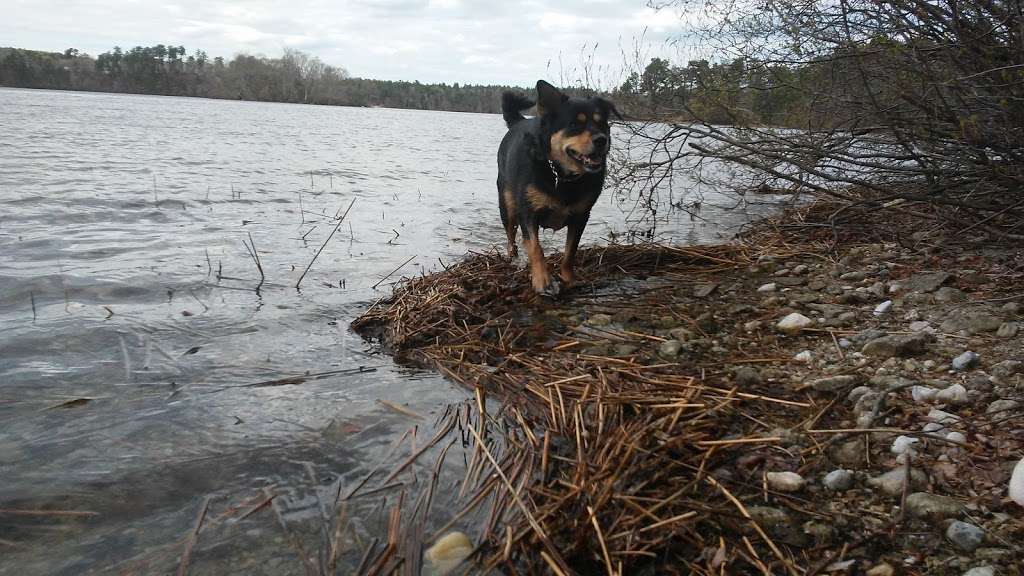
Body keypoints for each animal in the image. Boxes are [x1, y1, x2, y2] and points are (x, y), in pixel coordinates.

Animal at [493, 79, 614, 295]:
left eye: (602, 123)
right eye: (574, 124)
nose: (602, 139)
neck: (561, 175)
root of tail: (518, 121)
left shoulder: (581, 216)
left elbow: (570, 251)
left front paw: (568, 278)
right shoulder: (528, 212)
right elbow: (535, 248)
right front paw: (542, 281)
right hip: (507, 207)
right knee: (510, 238)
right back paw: (513, 258)